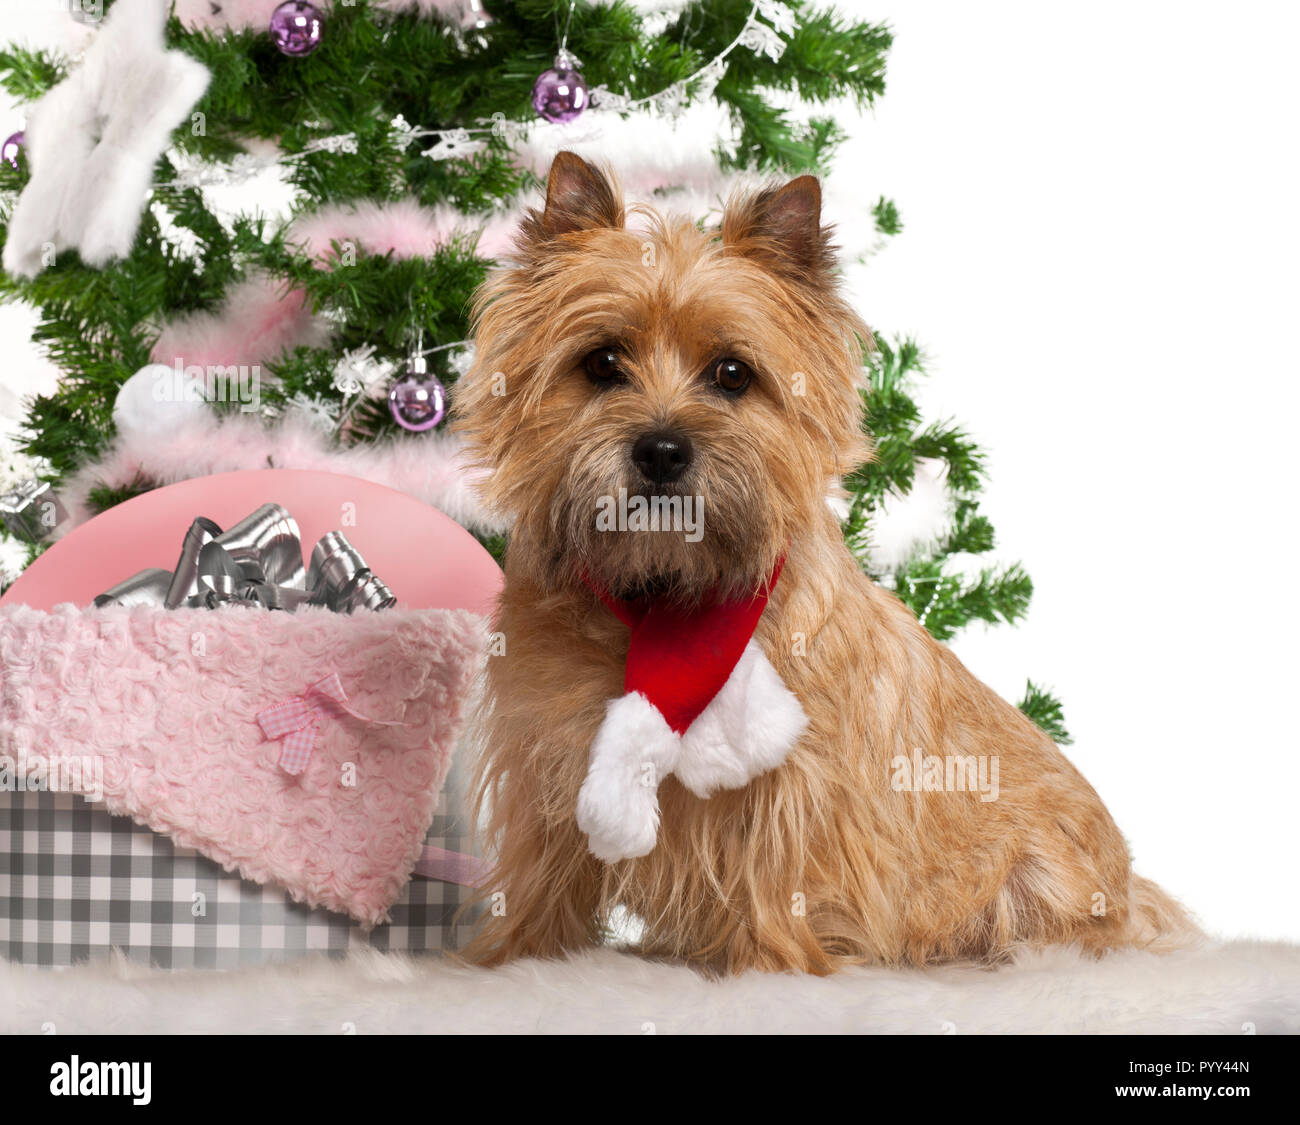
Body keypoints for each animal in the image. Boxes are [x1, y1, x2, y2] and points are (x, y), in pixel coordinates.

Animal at [449, 151, 1196, 972]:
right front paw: (519, 956)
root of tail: (1129, 890)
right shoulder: (547, 751)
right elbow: (542, 870)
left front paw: (768, 967)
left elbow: (774, 875)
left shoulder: (796, 781)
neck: (660, 600)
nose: (663, 450)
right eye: (602, 362)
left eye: (733, 373)